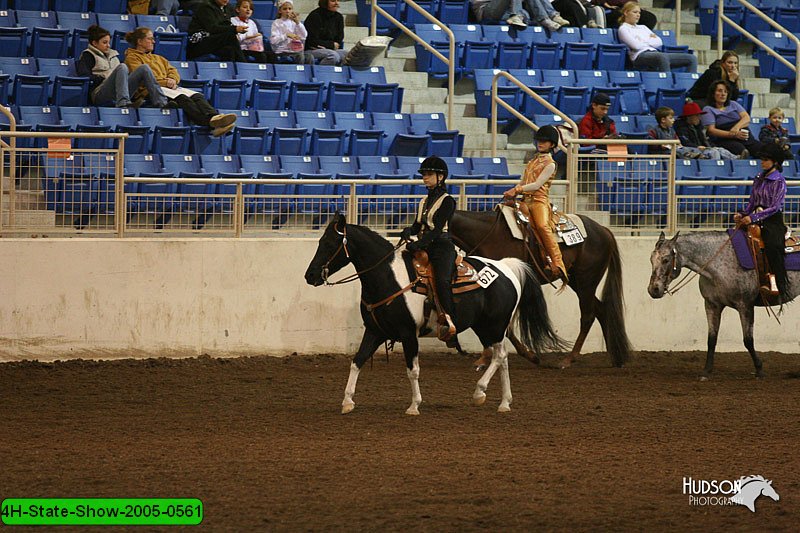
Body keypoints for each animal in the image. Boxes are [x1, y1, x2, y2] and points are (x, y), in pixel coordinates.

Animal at [304, 214, 564, 414]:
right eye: (320, 241)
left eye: (329, 244)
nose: (310, 275)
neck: (387, 277)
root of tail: (506, 267)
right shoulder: (375, 331)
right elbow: (357, 362)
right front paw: (347, 401)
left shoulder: (408, 334)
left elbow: (412, 370)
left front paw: (414, 406)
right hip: (484, 326)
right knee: (503, 358)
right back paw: (504, 403)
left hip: (495, 325)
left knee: (499, 356)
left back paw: (479, 392)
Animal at [648, 231, 796, 376]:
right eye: (651, 260)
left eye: (666, 260)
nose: (653, 290)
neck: (719, 264)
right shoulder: (712, 305)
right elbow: (711, 339)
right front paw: (706, 371)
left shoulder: (745, 305)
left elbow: (748, 340)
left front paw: (759, 369)